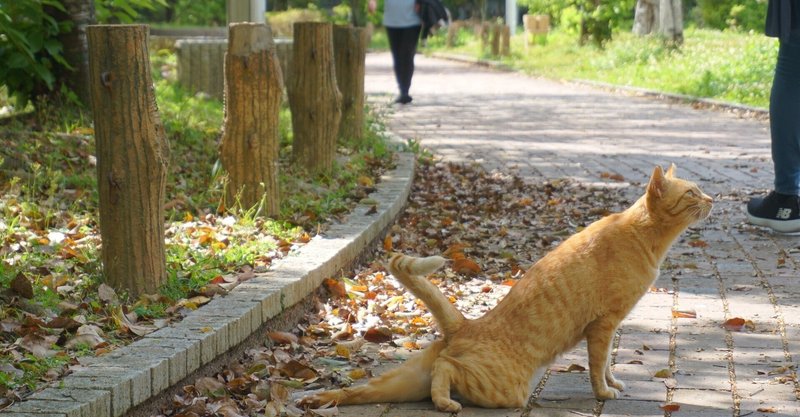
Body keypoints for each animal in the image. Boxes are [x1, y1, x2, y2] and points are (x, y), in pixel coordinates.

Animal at [302, 164, 712, 412]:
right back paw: (446, 402)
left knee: (359, 390)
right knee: (447, 369)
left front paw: (614, 382)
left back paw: (318, 398)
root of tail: (464, 325)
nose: (712, 199)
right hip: (505, 390)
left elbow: (609, 363)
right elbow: (598, 365)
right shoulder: (604, 325)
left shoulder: (610, 327)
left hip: (398, 383)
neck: (646, 237)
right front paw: (603, 392)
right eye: (692, 193)